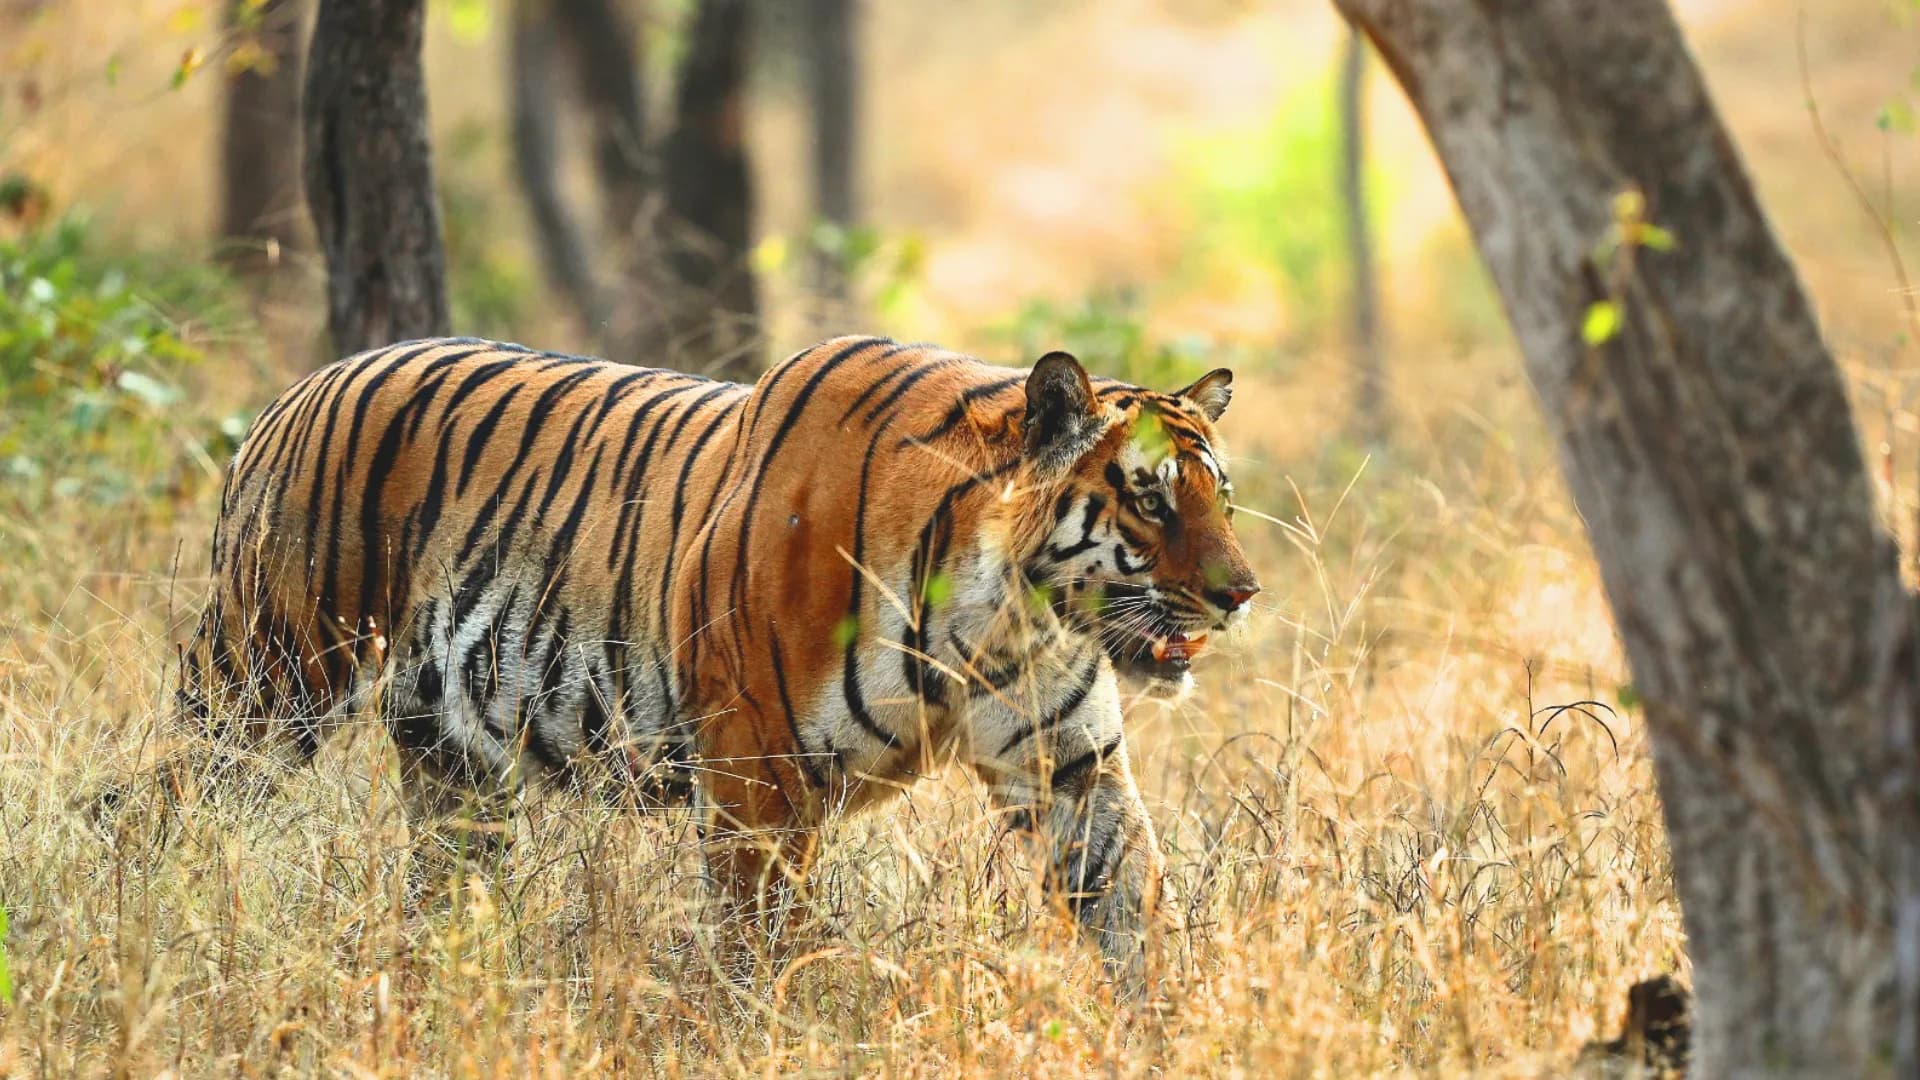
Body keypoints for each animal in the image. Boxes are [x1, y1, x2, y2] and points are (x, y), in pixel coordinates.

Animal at [174, 334, 1260, 995]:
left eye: (1220, 496)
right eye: (1151, 499)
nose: (1242, 593)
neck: (997, 619)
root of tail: (304, 383)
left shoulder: (1072, 766)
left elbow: (1132, 905)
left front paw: (1177, 1028)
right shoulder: (755, 771)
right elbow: (760, 946)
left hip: (454, 763)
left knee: (441, 888)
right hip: (269, 680)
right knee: (167, 807)